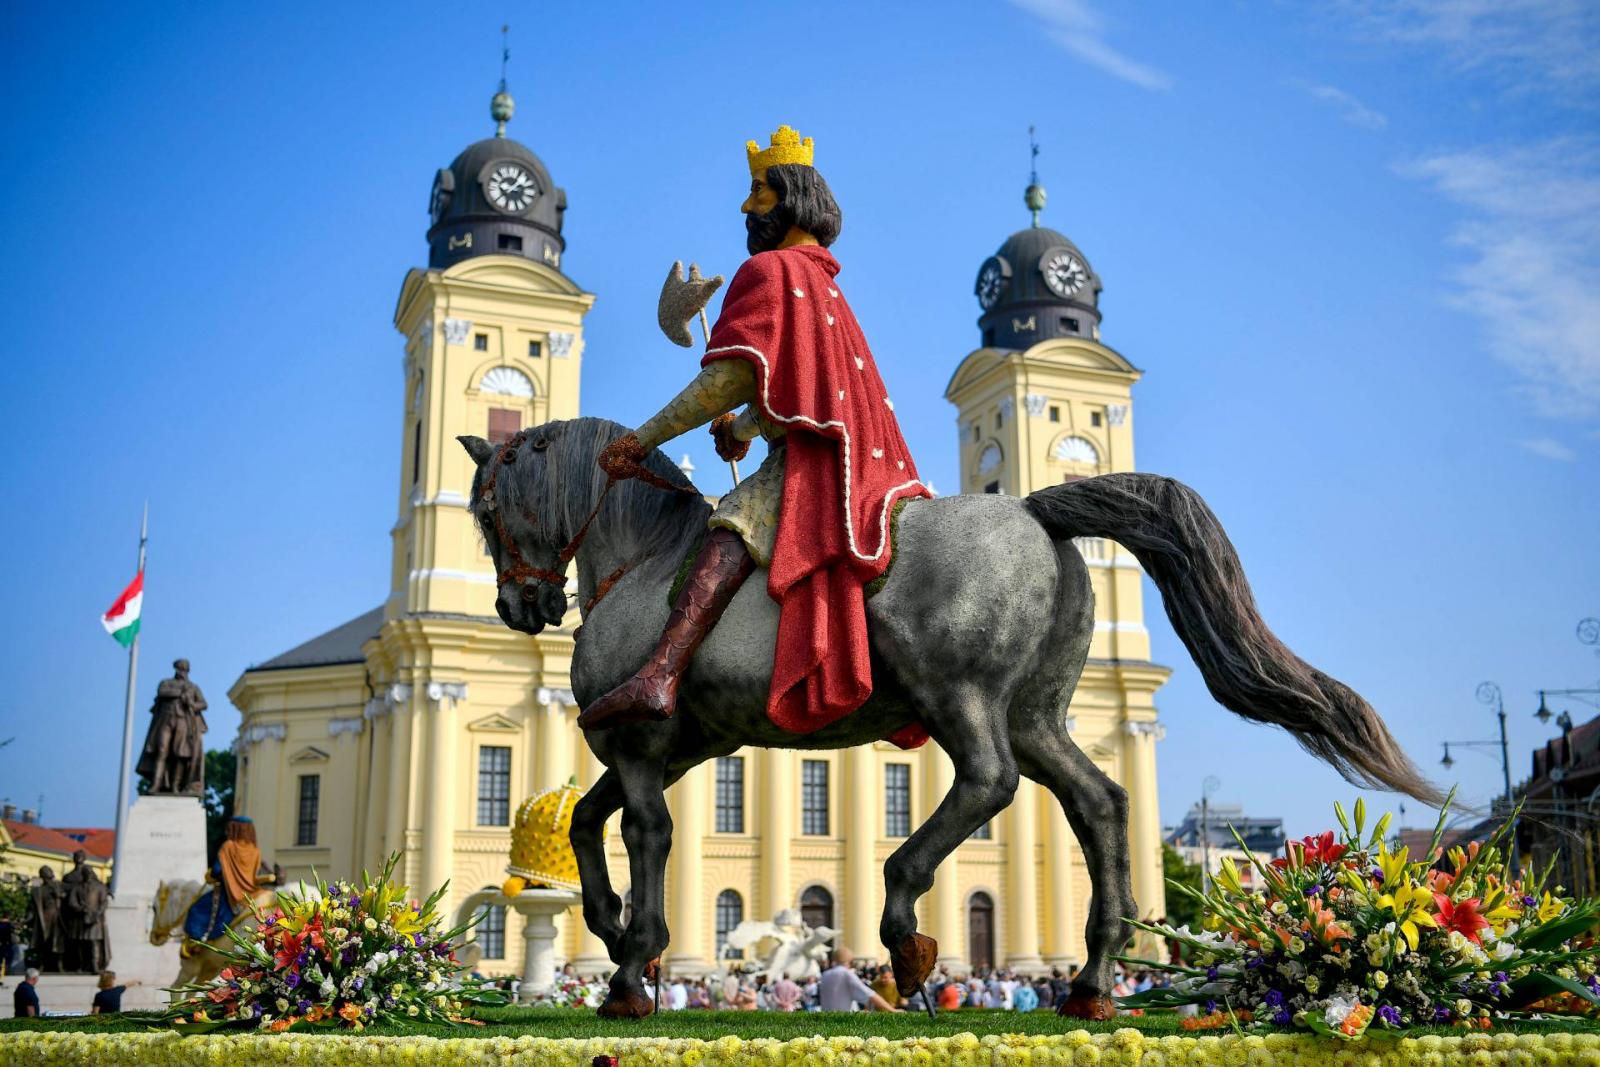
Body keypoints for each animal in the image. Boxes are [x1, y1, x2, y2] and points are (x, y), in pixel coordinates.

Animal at [460, 415, 1440, 1017]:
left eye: (487, 511)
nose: (518, 607)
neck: (647, 560)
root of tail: (1036, 510)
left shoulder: (641, 742)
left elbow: (644, 834)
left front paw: (631, 965)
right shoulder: (679, 749)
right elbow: (588, 824)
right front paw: (613, 928)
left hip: (958, 696)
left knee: (988, 782)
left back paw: (906, 928)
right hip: (1038, 713)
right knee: (1098, 802)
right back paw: (1093, 976)